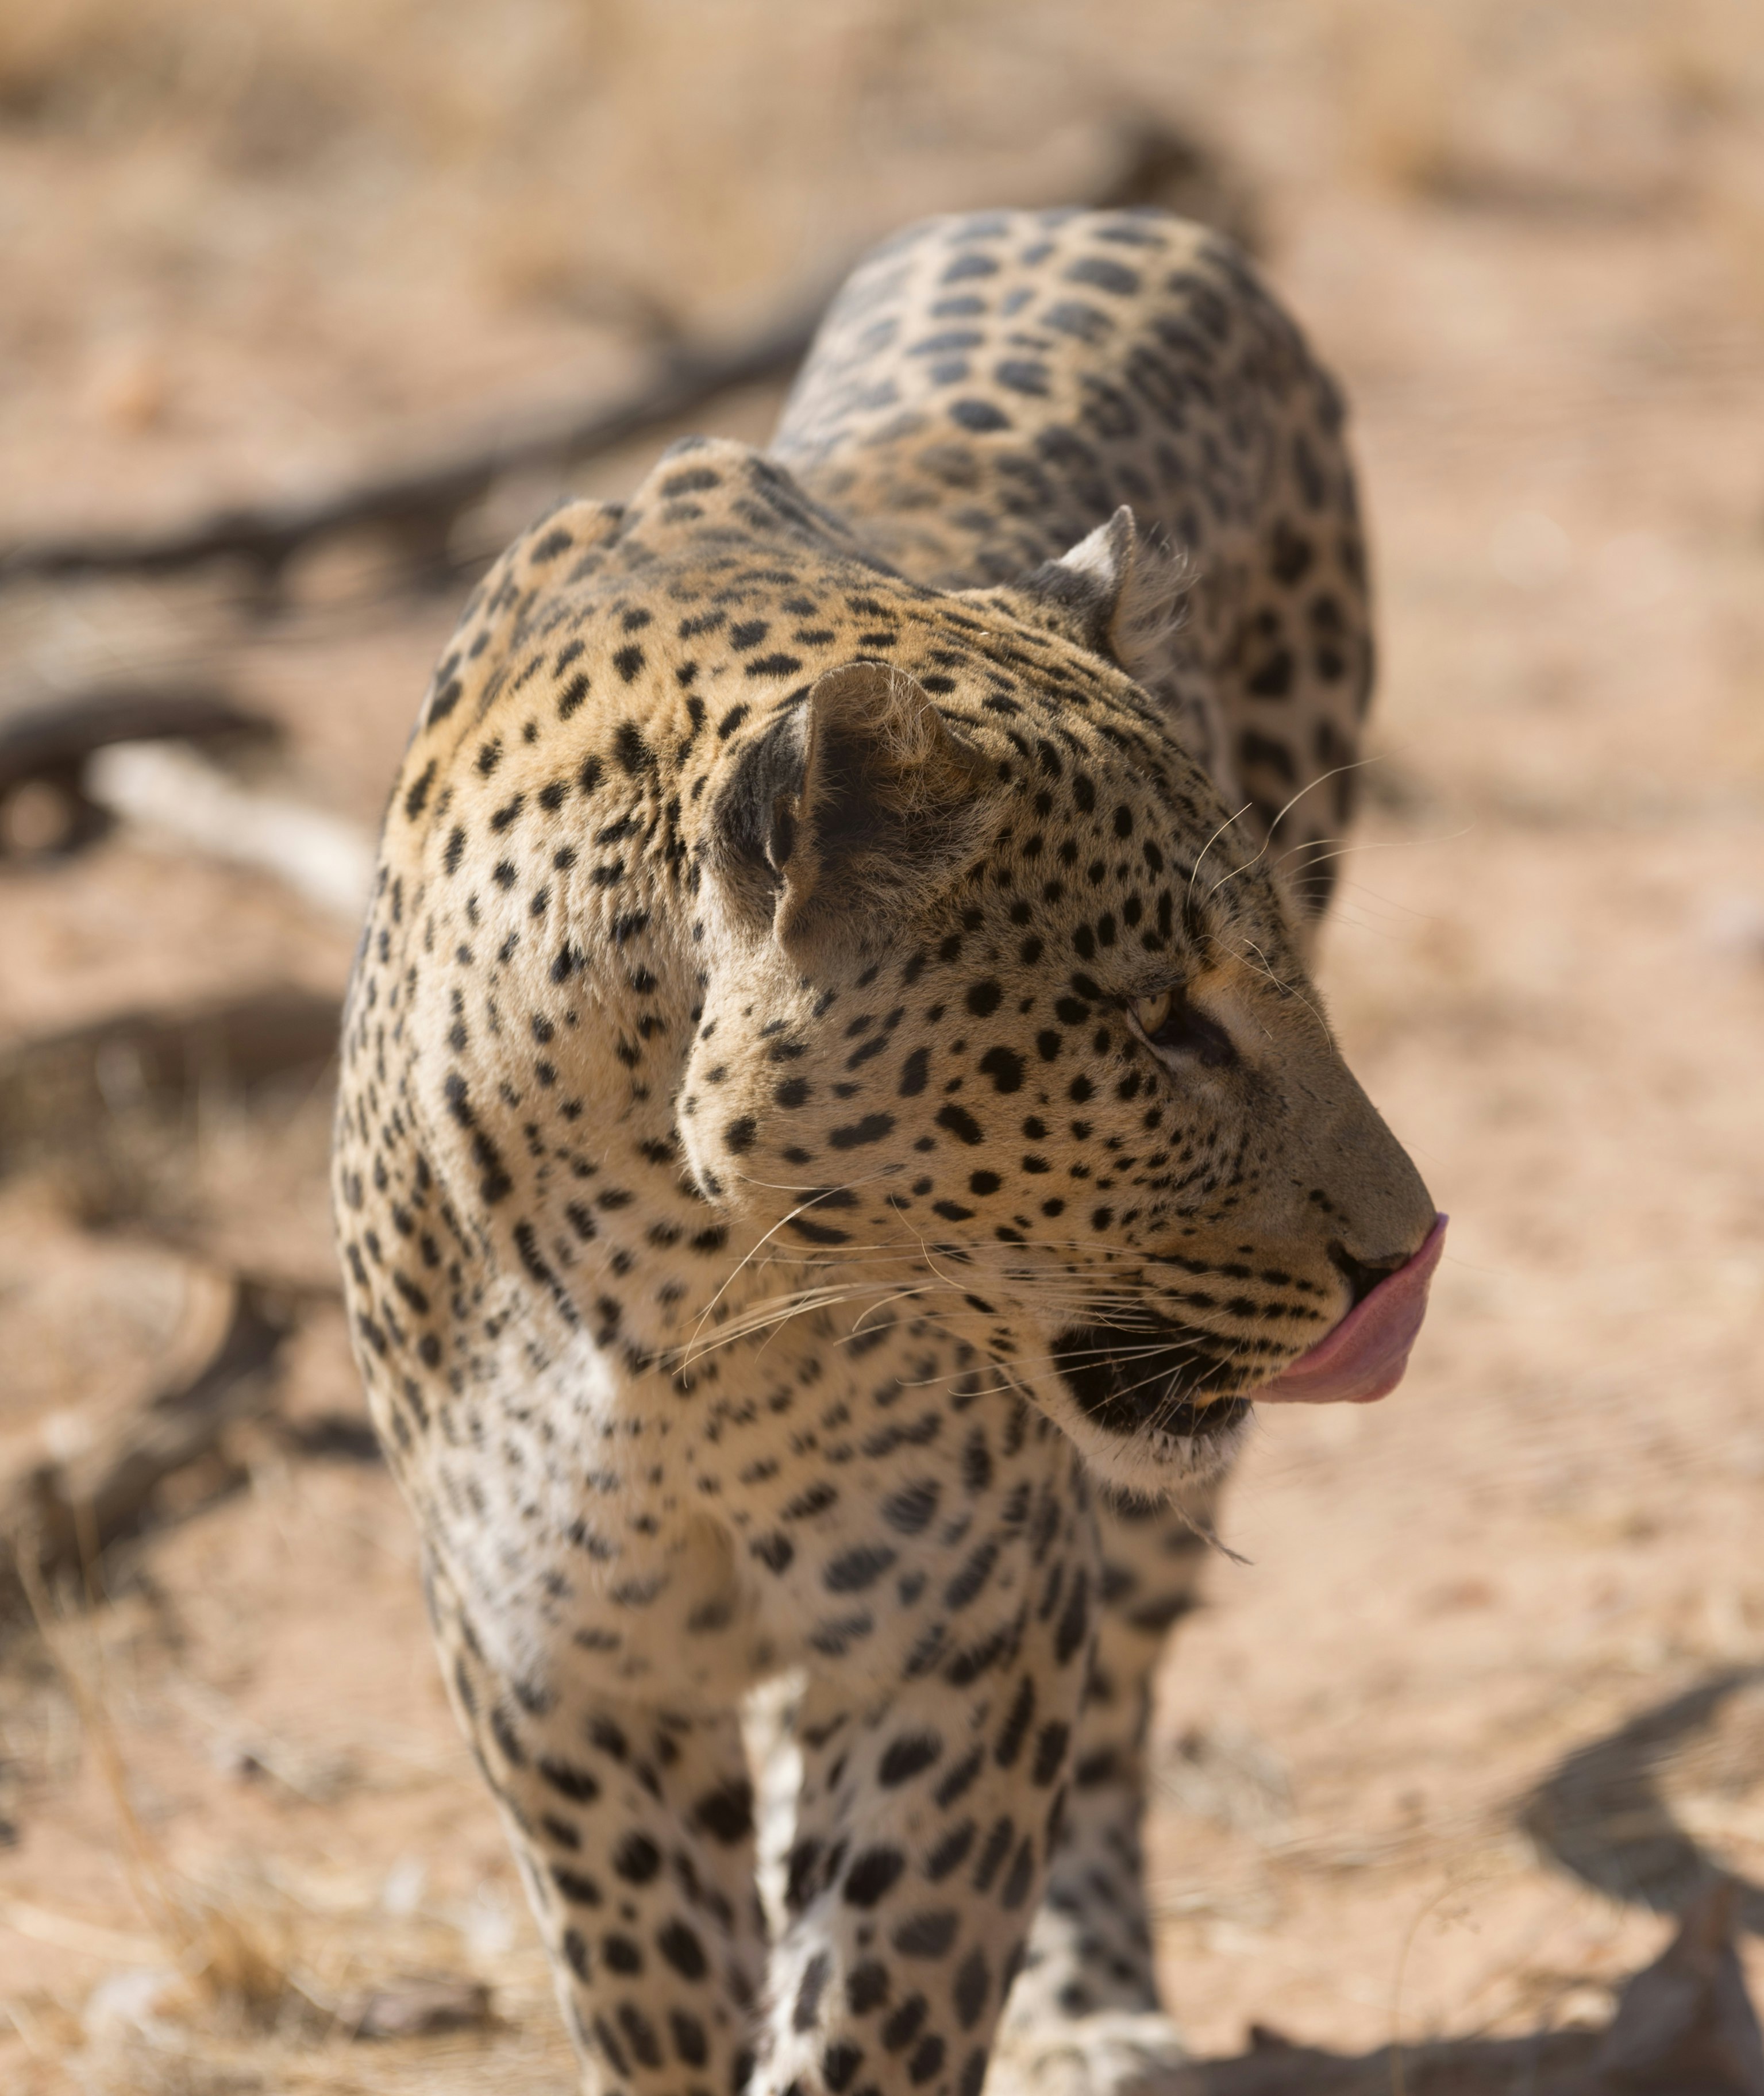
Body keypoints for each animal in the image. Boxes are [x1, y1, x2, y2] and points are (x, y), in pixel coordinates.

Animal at [337, 208, 1432, 2096]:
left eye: (1267, 980)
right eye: (1161, 1022)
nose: (1411, 1251)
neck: (673, 1300)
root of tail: (1114, 217)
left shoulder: (963, 1634)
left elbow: (874, 2007)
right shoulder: (556, 1674)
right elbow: (657, 1995)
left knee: (1118, 1715)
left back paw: (1098, 2011)